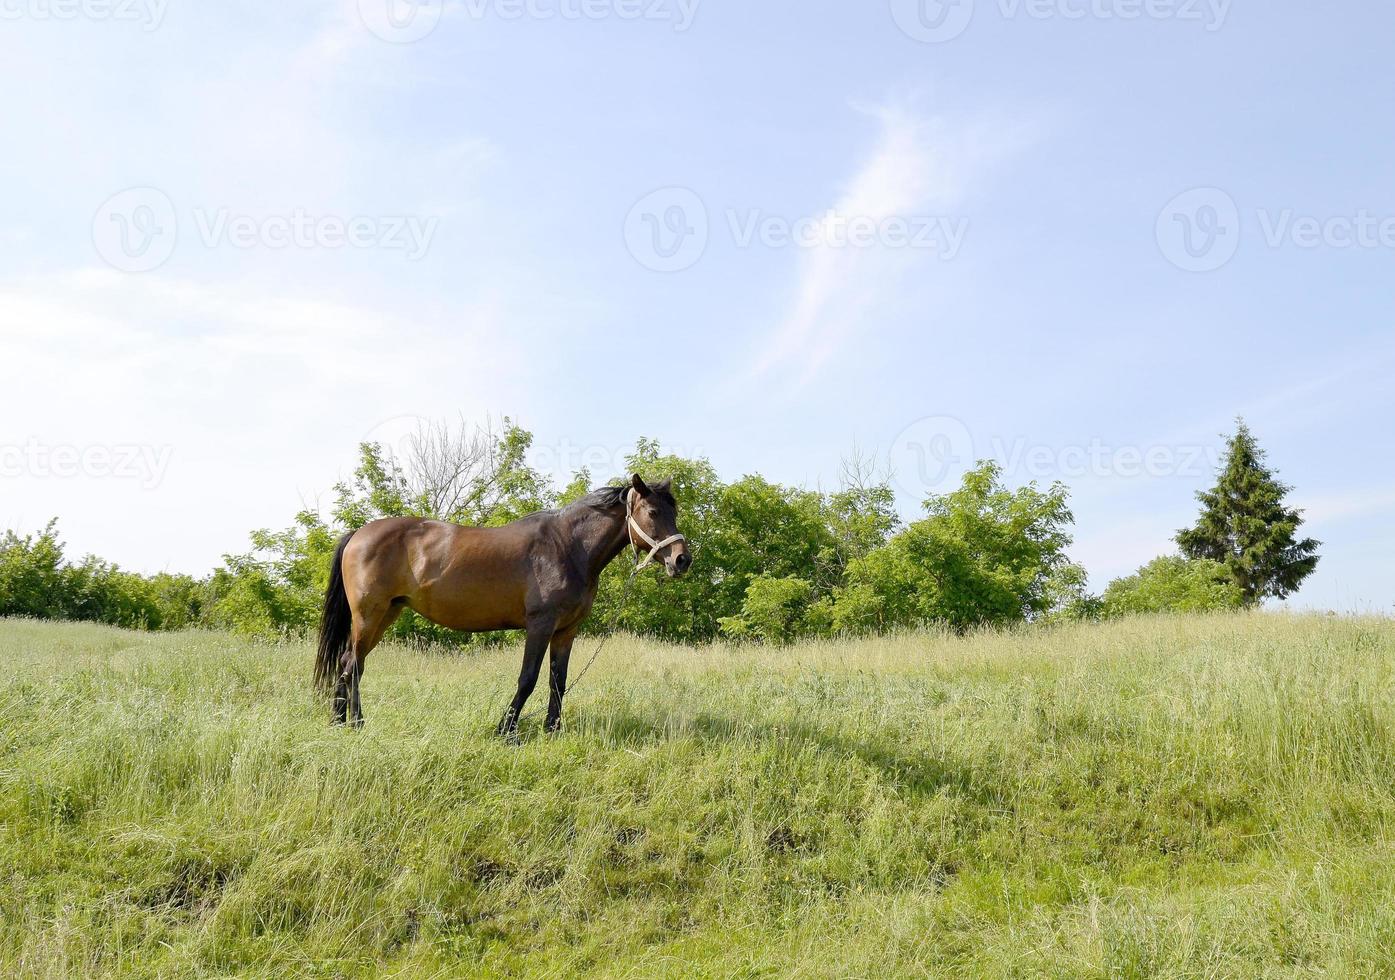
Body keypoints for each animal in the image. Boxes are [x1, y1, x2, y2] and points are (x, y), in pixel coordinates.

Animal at [313, 473, 689, 736]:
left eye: (674, 511)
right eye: (653, 511)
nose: (682, 560)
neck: (568, 546)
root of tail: (359, 534)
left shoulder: (566, 631)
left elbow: (558, 680)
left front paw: (552, 730)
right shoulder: (540, 625)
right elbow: (528, 678)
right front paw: (506, 730)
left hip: (387, 613)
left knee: (350, 663)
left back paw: (344, 721)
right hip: (369, 616)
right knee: (352, 665)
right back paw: (352, 724)